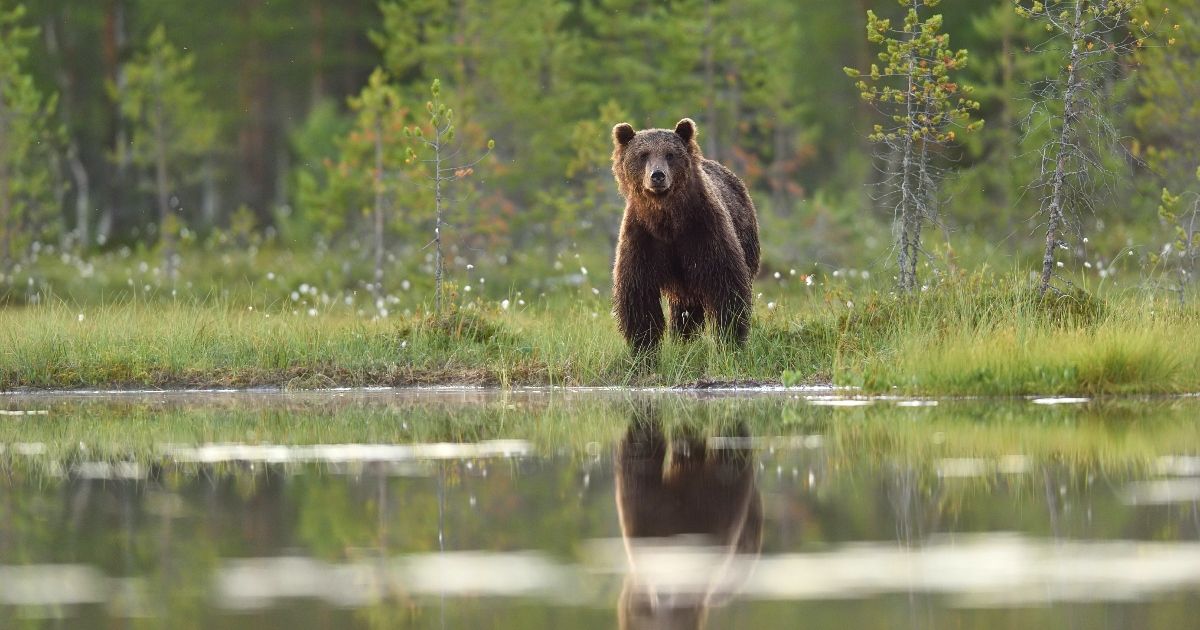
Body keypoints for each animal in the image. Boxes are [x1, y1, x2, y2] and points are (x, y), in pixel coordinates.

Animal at [609, 118, 758, 352]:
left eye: (670, 154)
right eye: (643, 154)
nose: (657, 176)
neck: (668, 221)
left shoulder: (702, 232)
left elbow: (726, 286)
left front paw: (730, 341)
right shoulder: (643, 238)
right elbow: (638, 295)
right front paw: (644, 348)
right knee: (684, 308)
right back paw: (683, 338)